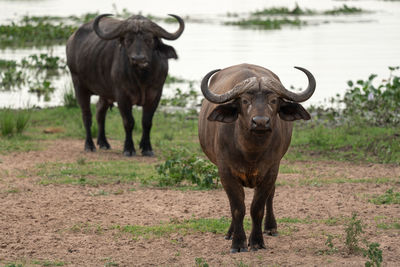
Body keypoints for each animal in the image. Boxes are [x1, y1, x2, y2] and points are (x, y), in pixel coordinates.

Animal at [66, 14, 184, 157]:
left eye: (149, 40)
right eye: (128, 40)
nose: (138, 59)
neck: (142, 78)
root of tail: (71, 40)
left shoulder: (155, 95)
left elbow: (147, 122)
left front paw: (147, 148)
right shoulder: (122, 96)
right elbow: (129, 122)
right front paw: (129, 149)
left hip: (105, 92)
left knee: (100, 112)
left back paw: (103, 142)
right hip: (79, 85)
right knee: (86, 116)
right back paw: (89, 145)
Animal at [198, 63, 316, 253]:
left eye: (273, 100)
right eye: (245, 100)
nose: (260, 122)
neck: (250, 151)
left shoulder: (271, 171)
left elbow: (257, 208)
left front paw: (257, 241)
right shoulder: (225, 172)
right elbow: (238, 208)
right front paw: (238, 243)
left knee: (271, 196)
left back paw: (271, 227)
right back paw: (230, 232)